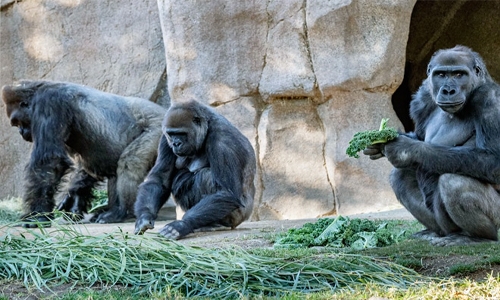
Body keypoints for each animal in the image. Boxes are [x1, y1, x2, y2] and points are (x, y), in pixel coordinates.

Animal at [1, 81, 166, 226]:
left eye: (18, 121)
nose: (21, 132)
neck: (37, 91)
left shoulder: (49, 103)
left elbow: (50, 163)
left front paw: (37, 214)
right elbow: (89, 166)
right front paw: (73, 196)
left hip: (158, 128)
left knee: (130, 162)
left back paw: (121, 211)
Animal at [134, 99, 256, 240]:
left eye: (181, 133)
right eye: (172, 134)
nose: (176, 143)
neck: (207, 126)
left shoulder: (223, 140)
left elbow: (226, 192)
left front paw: (182, 225)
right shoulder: (165, 139)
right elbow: (159, 180)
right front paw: (144, 217)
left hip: (238, 217)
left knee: (205, 176)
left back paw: (216, 224)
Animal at [364, 45, 500, 246]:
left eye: (459, 74)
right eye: (441, 74)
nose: (448, 90)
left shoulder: (491, 99)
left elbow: (493, 158)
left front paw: (406, 150)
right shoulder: (423, 97)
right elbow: (419, 137)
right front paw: (380, 142)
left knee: (454, 182)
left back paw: (477, 237)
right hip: (441, 223)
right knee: (400, 176)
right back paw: (433, 232)